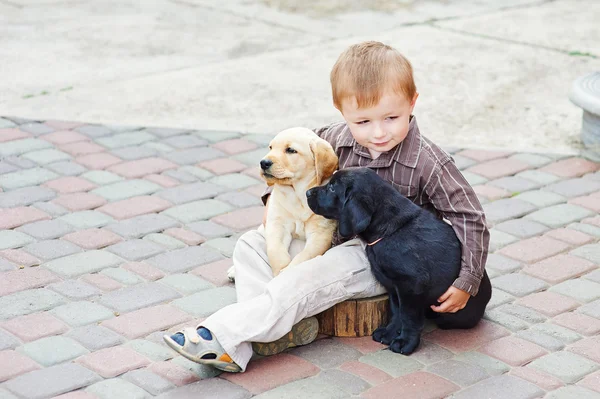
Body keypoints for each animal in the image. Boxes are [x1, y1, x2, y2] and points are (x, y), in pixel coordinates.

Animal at [308, 167, 490, 354]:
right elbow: (397, 311)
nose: (307, 193)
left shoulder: (411, 286)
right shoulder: (393, 285)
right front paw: (389, 333)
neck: (389, 231)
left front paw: (405, 342)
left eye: (332, 188)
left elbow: (408, 316)